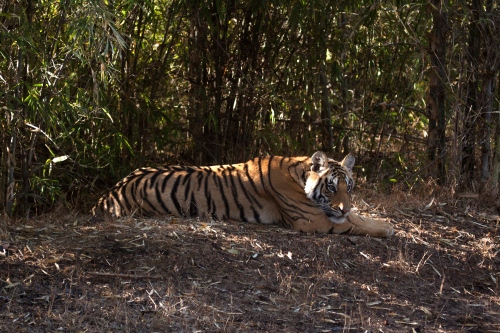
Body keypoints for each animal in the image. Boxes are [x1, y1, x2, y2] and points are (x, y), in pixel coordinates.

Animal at [93, 150, 394, 236]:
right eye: (331, 187)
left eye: (349, 187)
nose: (344, 207)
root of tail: (109, 194)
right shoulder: (312, 219)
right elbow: (353, 224)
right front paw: (387, 228)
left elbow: (358, 218)